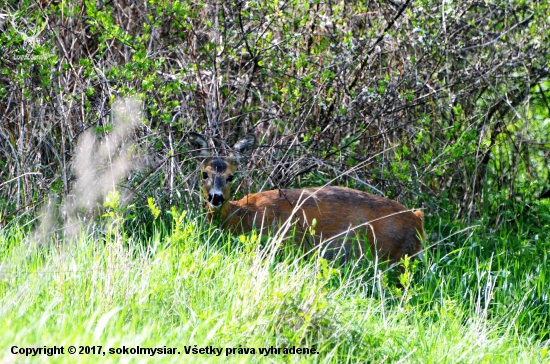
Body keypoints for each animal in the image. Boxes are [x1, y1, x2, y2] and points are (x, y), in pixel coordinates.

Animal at [190, 132, 426, 264]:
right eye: (204, 173)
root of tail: (418, 218)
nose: (216, 197)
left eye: (231, 176)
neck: (240, 215)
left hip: (392, 256)